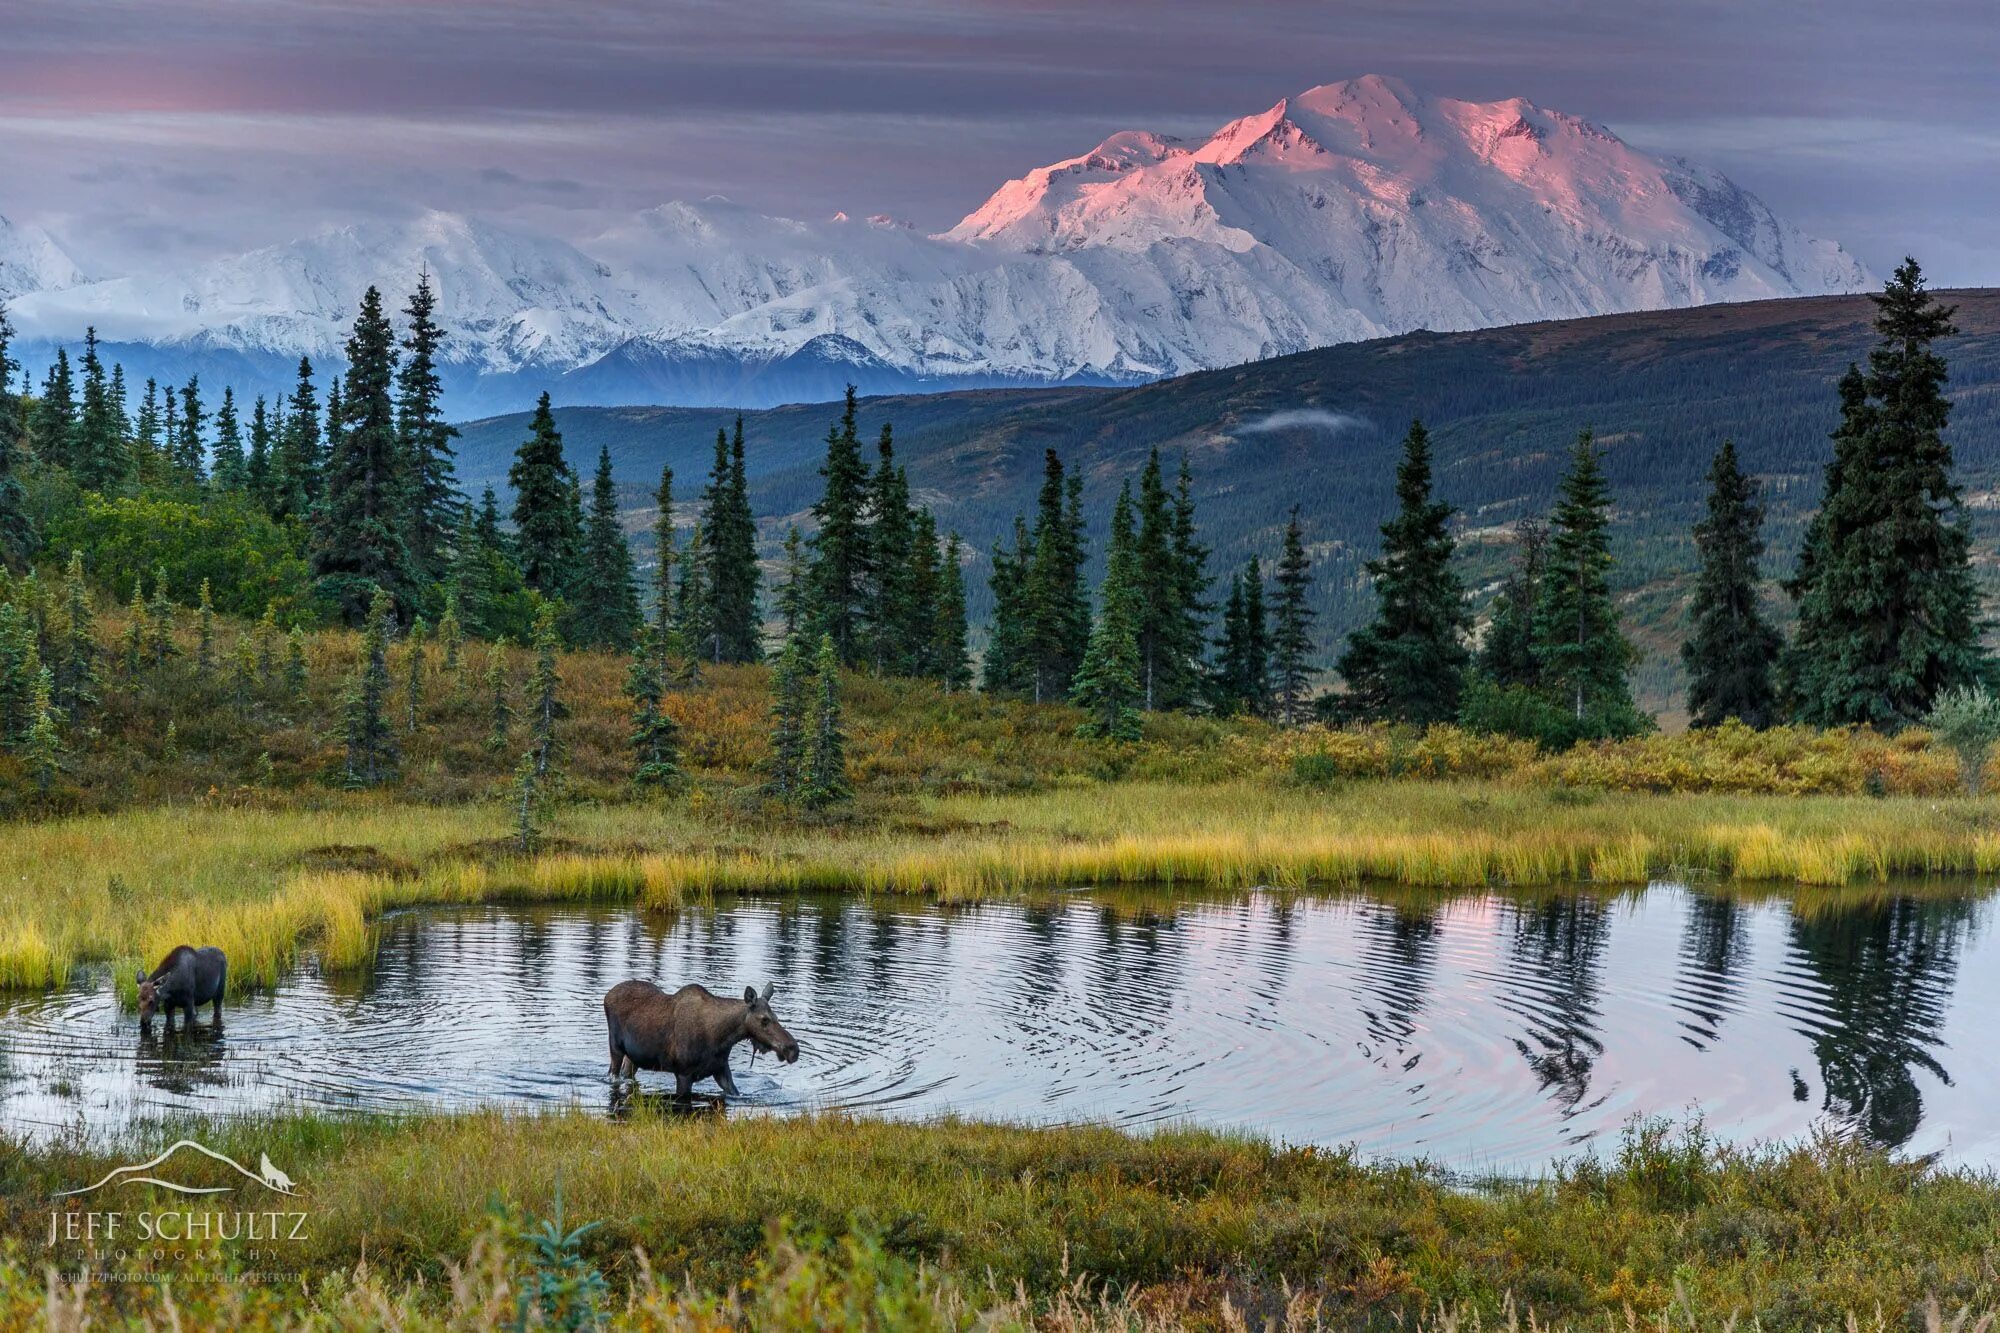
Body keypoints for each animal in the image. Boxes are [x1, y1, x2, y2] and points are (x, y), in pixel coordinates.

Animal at [600, 972, 796, 1096]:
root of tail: (606, 996)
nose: (793, 1049)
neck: (722, 1038)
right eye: (764, 1020)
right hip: (615, 1047)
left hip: (634, 1056)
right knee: (612, 1073)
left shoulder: (721, 1071)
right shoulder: (683, 1074)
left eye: (776, 1017)